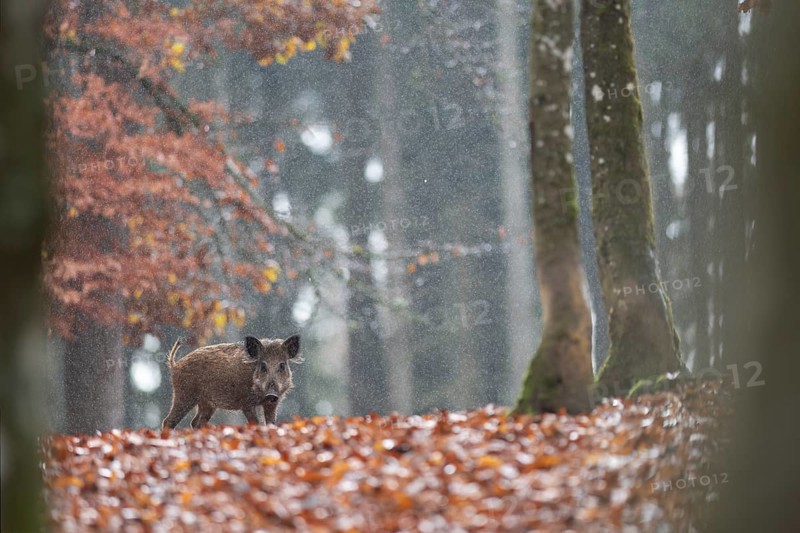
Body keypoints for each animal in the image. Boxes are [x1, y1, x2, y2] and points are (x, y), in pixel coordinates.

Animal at [161, 334, 301, 429]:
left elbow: (271, 423)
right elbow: (255, 423)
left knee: (196, 422)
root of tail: (175, 365)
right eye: (263, 365)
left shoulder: (273, 403)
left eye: (282, 365)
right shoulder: (246, 403)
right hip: (184, 395)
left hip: (206, 403)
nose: (271, 394)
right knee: (169, 421)